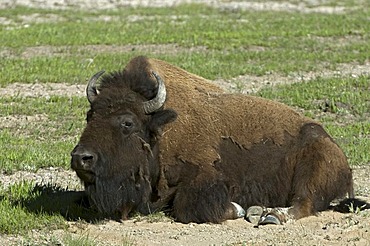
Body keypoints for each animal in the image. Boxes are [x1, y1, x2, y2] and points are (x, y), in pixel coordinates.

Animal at [71, 55, 364, 225]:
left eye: (127, 122)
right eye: (89, 115)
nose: (81, 158)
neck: (161, 131)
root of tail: (334, 147)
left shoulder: (205, 177)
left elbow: (187, 207)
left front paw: (238, 209)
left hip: (310, 174)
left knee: (303, 203)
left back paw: (267, 215)